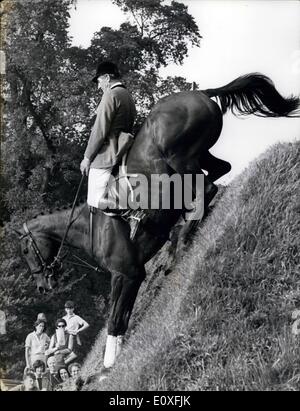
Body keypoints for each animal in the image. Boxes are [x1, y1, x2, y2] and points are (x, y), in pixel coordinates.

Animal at [14, 73, 300, 370]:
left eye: (25, 251)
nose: (42, 287)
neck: (88, 226)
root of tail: (200, 93)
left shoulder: (124, 273)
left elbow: (114, 318)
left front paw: (108, 363)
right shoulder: (135, 274)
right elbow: (123, 317)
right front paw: (118, 355)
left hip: (180, 158)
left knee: (207, 187)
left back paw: (184, 237)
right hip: (197, 156)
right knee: (219, 173)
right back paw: (183, 233)